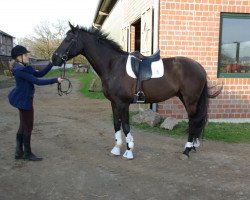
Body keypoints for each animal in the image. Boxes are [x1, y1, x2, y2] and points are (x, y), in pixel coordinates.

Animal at [52, 23, 221, 160]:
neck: (113, 66)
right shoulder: (114, 103)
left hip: (190, 100)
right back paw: (191, 147)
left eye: (69, 40)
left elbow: (126, 126)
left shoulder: (122, 103)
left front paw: (128, 152)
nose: (54, 59)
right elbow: (116, 125)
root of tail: (199, 67)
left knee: (194, 121)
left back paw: (186, 151)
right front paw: (116, 149)